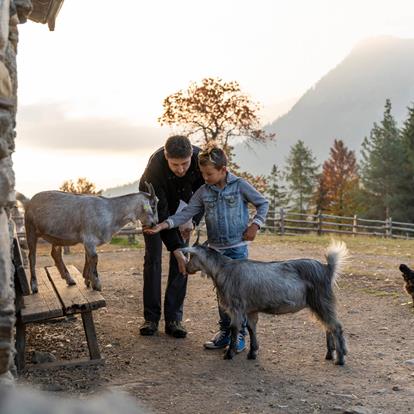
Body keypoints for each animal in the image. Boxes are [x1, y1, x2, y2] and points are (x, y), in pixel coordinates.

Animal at [23, 184, 158, 294]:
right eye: (153, 205)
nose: (154, 223)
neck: (110, 211)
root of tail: (30, 201)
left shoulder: (88, 243)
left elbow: (88, 258)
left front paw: (87, 280)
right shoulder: (89, 239)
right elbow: (94, 258)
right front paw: (96, 284)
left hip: (56, 237)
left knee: (55, 254)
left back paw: (70, 279)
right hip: (30, 229)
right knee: (32, 256)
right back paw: (34, 286)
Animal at [183, 241, 348, 364]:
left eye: (191, 256)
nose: (186, 268)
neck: (223, 270)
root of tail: (327, 268)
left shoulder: (236, 308)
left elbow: (234, 329)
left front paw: (229, 354)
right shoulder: (250, 309)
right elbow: (251, 328)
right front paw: (252, 352)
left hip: (321, 301)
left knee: (336, 327)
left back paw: (340, 359)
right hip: (319, 304)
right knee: (327, 327)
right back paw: (329, 354)